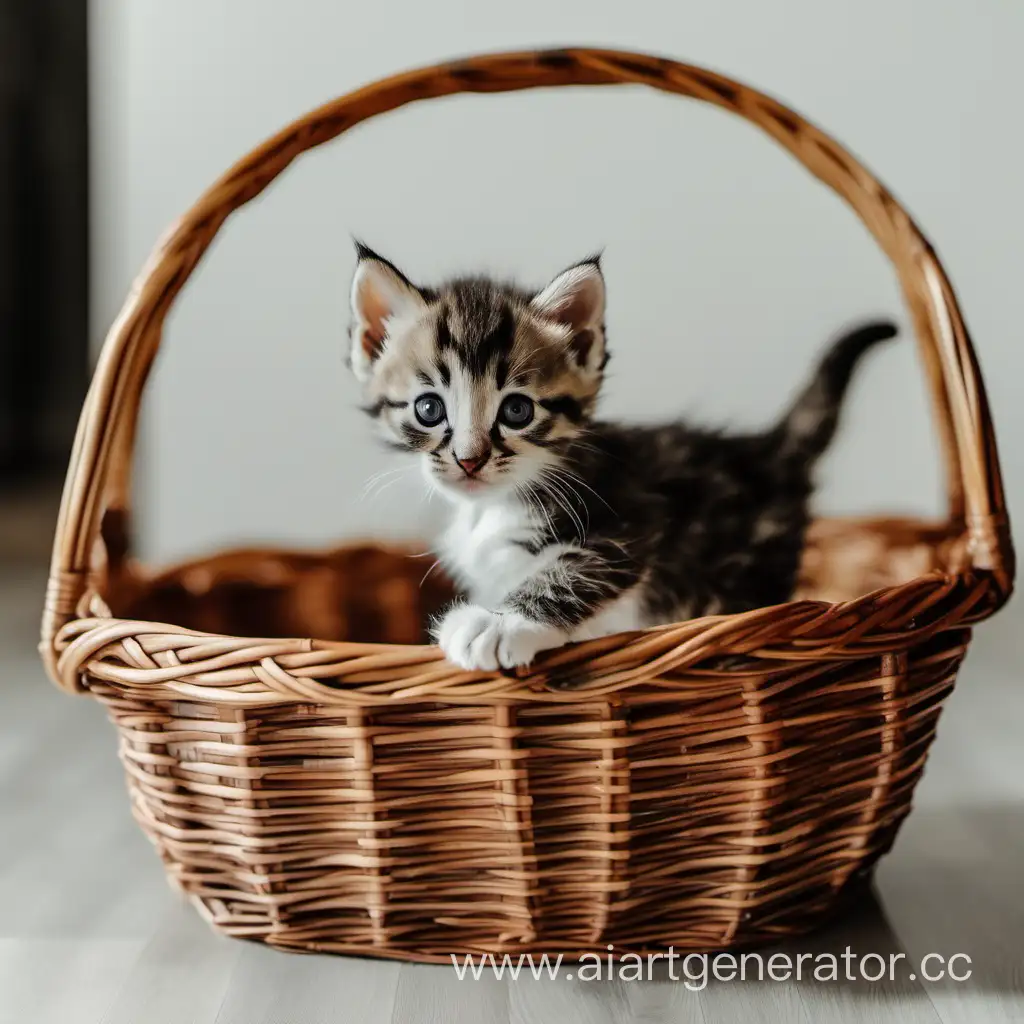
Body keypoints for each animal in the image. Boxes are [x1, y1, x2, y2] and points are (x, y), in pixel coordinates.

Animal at [346, 239, 897, 671]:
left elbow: (571, 569)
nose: (469, 459)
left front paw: (496, 624)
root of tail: (763, 449)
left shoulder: (633, 518)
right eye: (429, 408)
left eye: (517, 411)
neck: (494, 505)